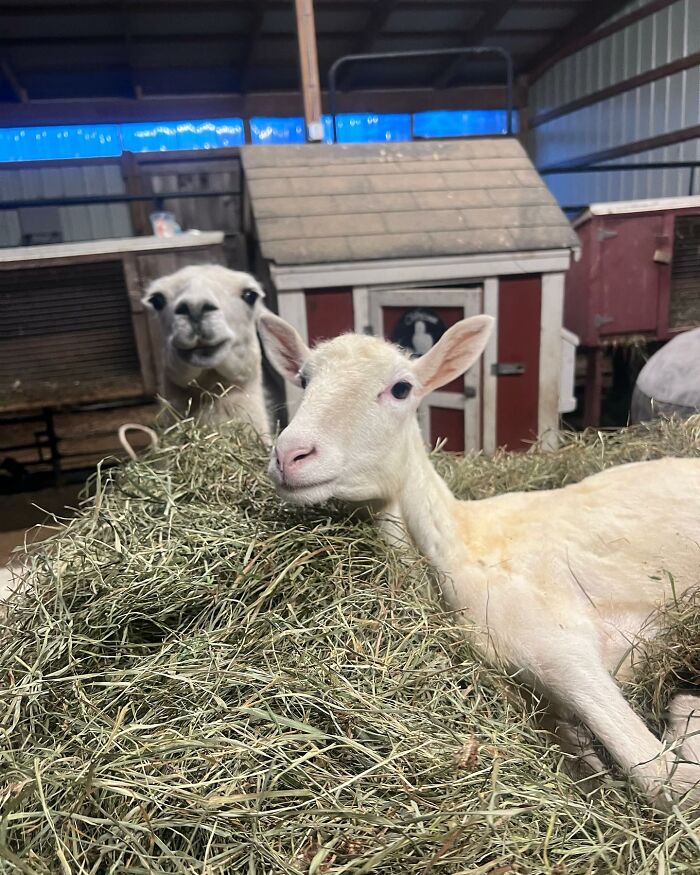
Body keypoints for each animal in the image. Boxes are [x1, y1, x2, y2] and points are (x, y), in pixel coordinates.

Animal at [258, 311, 700, 811]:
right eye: (303, 379)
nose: (290, 454)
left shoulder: (558, 646)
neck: (458, 540)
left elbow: (660, 776)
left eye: (401, 389)